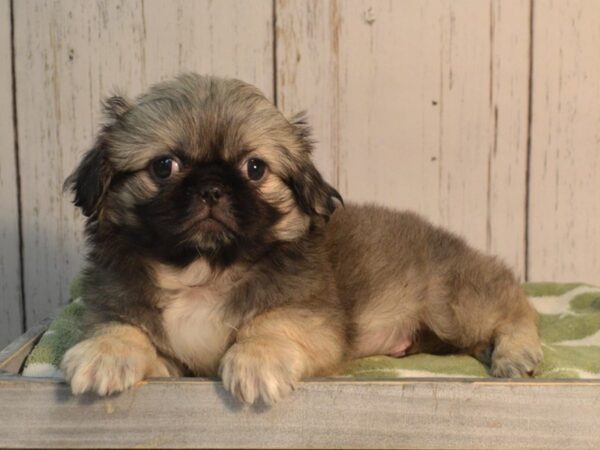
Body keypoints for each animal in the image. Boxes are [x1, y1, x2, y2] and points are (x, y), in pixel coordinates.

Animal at [62, 74, 544, 404]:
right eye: (164, 166)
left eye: (255, 169)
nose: (212, 188)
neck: (204, 270)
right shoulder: (166, 355)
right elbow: (127, 329)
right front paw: (106, 352)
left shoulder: (310, 318)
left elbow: (270, 324)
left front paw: (255, 360)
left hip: (453, 304)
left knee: (514, 307)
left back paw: (515, 354)